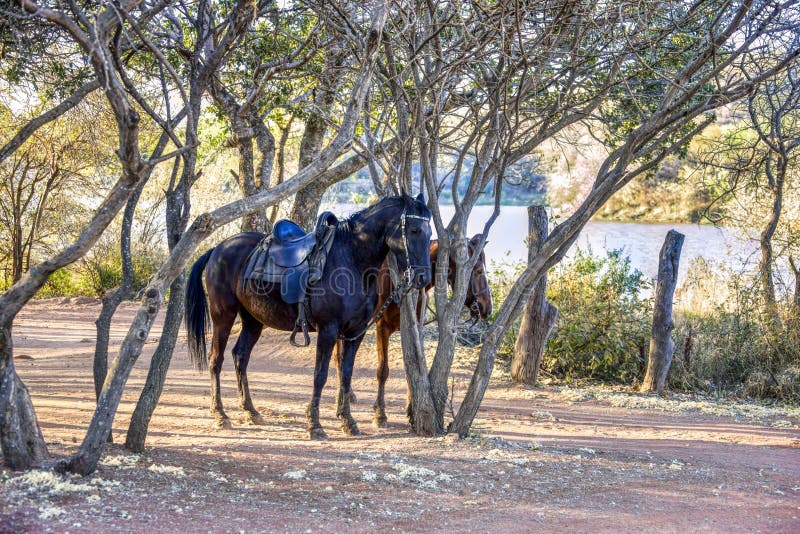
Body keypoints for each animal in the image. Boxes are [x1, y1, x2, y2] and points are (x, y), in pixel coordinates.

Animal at [185, 194, 432, 439]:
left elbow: (346, 374)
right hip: (223, 315)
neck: (351, 260)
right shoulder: (328, 330)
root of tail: (218, 249)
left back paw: (250, 411)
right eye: (414, 230)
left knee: (240, 356)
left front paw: (348, 421)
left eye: (430, 233)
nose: (423, 278)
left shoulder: (355, 333)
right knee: (216, 360)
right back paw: (220, 414)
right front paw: (314, 424)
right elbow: (320, 375)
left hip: (253, 320)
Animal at [334, 234, 493, 426]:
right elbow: (383, 370)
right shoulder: (382, 327)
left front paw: (411, 408)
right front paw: (380, 413)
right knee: (339, 358)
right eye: (477, 271)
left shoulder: (414, 327)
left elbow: (414, 366)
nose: (487, 307)